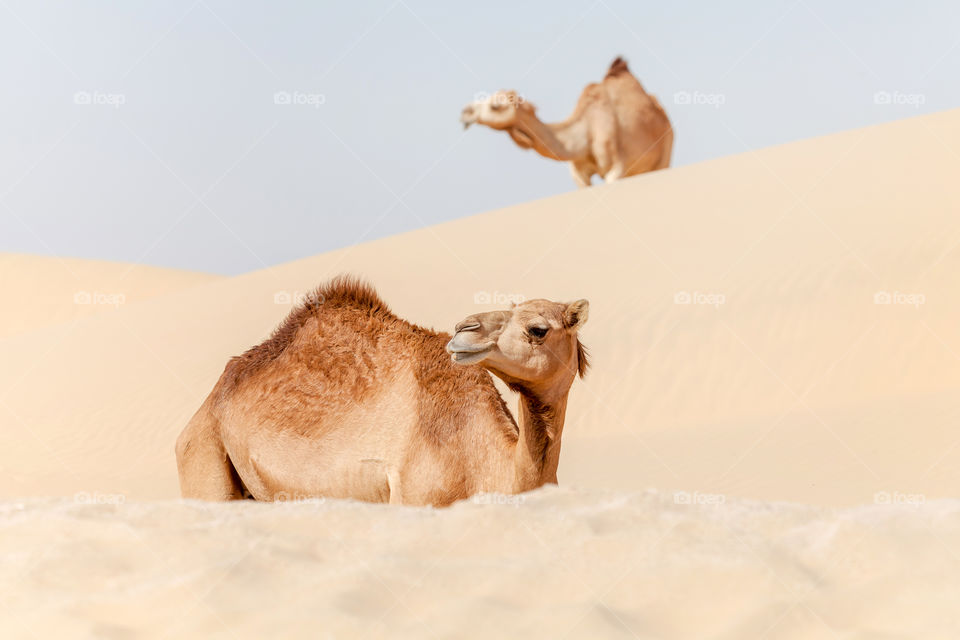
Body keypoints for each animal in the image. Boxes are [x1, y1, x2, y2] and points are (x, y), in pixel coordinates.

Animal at [460, 56, 672, 188]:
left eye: (496, 106)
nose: (465, 113)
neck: (586, 132)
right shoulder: (579, 174)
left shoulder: (616, 168)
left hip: (665, 153)